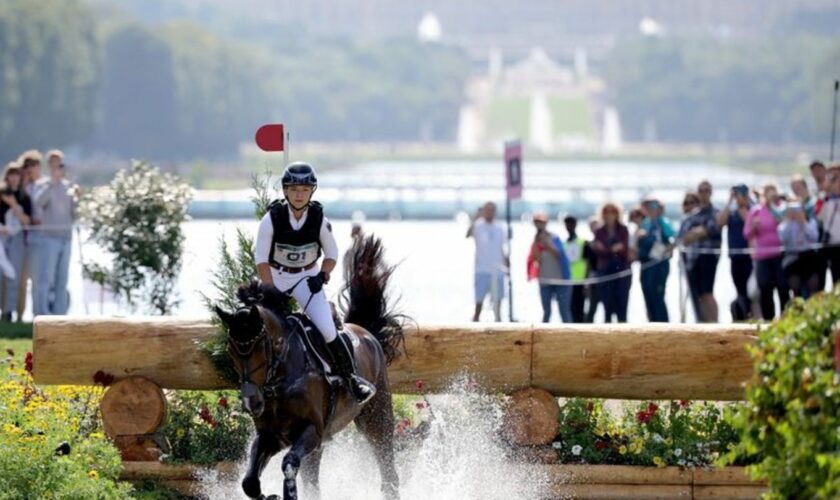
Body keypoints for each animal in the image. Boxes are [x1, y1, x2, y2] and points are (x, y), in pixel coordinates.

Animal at [213, 235, 404, 500]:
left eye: (261, 347)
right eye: (231, 349)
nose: (252, 403)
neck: (281, 379)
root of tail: (366, 332)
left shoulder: (312, 430)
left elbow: (289, 464)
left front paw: (286, 492)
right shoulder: (270, 436)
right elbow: (250, 482)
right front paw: (270, 496)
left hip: (376, 418)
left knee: (388, 472)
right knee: (314, 481)